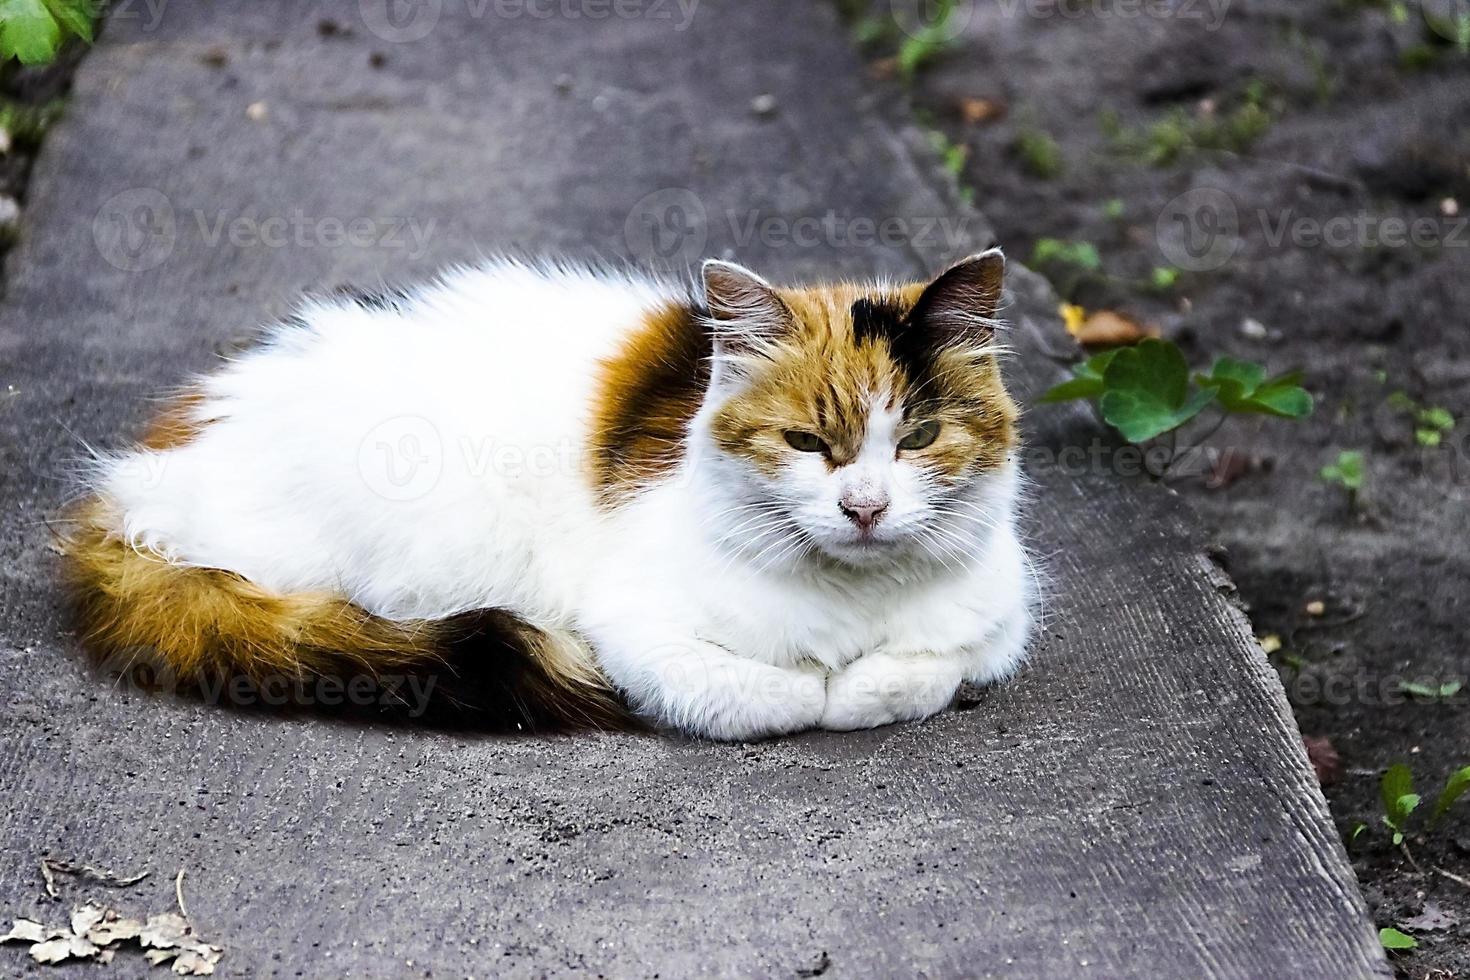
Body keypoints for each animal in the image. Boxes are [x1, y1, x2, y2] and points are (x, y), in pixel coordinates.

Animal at [63, 249, 1034, 740]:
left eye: (918, 439)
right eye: (805, 443)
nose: (865, 510)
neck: (852, 606)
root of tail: (141, 479)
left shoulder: (1000, 616)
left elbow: (929, 670)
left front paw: (864, 683)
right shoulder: (635, 628)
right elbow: (777, 698)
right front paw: (819, 689)